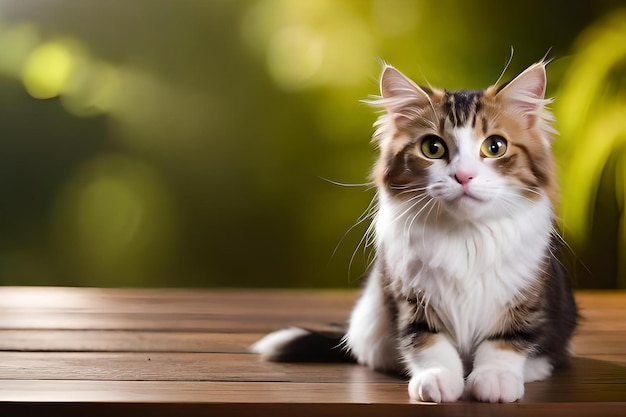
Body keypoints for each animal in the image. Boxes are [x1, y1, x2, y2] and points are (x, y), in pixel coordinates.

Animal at [249, 60, 576, 402]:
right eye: (433, 148)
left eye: (495, 147)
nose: (464, 176)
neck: (464, 234)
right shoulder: (410, 296)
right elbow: (427, 342)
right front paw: (438, 379)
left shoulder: (526, 295)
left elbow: (507, 340)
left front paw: (495, 379)